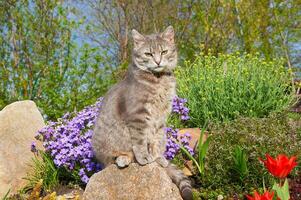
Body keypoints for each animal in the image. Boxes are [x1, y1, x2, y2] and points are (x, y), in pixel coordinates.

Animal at [91, 26, 191, 200]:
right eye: (148, 54)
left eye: (164, 51)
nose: (157, 61)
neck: (159, 80)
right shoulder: (138, 115)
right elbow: (139, 140)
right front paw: (144, 157)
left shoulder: (161, 118)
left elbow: (155, 140)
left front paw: (157, 157)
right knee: (110, 159)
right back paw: (123, 158)